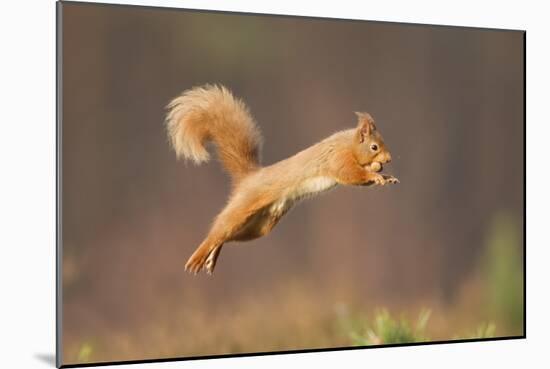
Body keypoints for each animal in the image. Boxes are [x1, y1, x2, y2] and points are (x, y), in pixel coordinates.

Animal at [166, 83, 398, 274]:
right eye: (374, 146)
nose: (389, 159)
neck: (348, 144)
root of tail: (250, 177)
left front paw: (386, 177)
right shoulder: (338, 160)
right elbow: (352, 175)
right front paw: (376, 175)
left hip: (260, 226)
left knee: (228, 237)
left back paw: (212, 257)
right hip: (242, 208)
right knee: (218, 230)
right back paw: (198, 256)